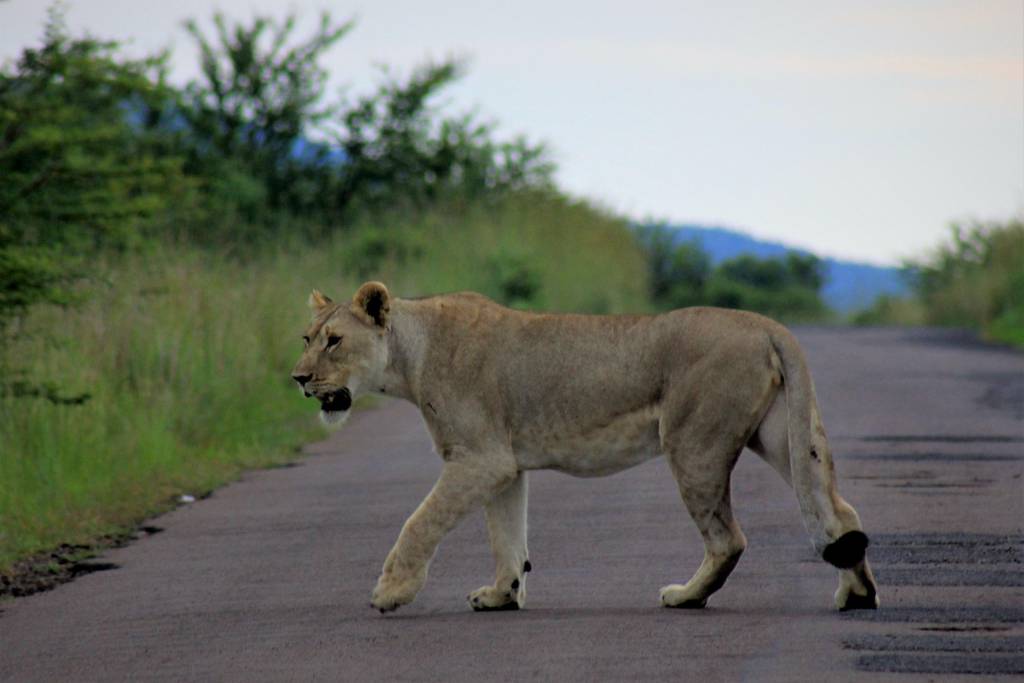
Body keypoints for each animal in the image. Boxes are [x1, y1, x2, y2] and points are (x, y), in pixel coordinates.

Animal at [291, 281, 879, 614]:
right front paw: (501, 596)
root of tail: (765, 324)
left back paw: (686, 596)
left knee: (728, 538)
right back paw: (857, 596)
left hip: (694, 443)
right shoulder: (504, 465)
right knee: (840, 513)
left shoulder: (478, 457)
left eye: (335, 341)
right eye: (306, 338)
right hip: (780, 436)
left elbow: (420, 523)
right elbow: (507, 537)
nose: (297, 378)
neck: (409, 357)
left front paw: (390, 592)